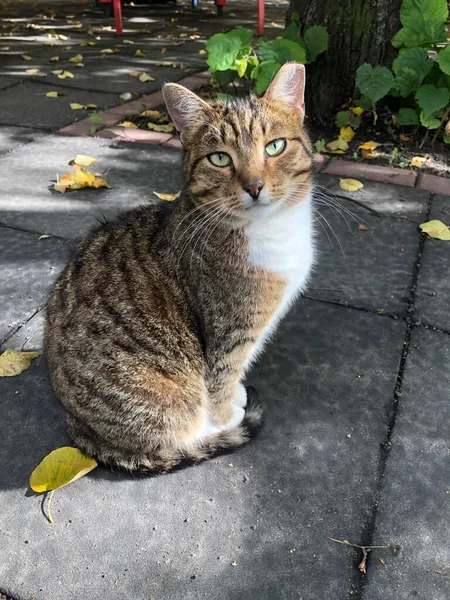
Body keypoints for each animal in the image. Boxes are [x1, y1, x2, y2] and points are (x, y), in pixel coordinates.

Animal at [44, 61, 314, 474]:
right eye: (220, 158)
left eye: (275, 146)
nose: (254, 186)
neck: (272, 231)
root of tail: (80, 429)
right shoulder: (229, 331)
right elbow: (221, 379)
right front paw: (228, 415)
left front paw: (237, 397)